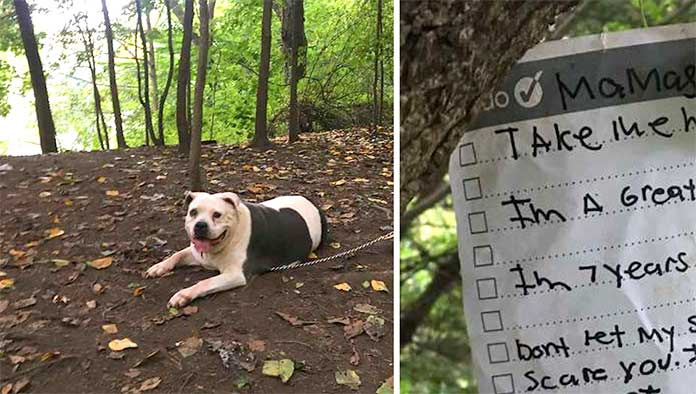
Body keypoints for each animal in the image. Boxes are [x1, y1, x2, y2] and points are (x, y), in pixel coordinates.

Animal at [145, 191, 328, 308]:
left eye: (217, 215)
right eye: (193, 212)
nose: (200, 225)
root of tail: (312, 203)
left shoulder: (235, 275)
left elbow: (205, 282)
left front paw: (184, 295)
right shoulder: (197, 254)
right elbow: (176, 255)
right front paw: (159, 267)